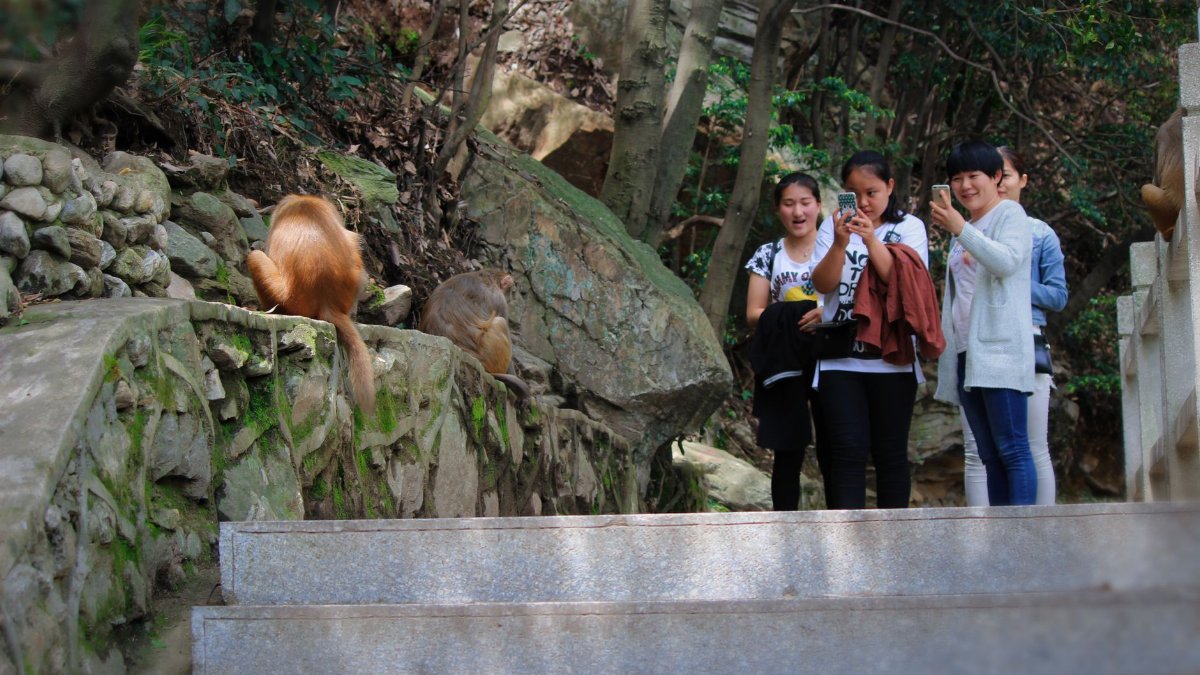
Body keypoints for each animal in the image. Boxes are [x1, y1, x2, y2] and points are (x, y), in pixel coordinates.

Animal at [419, 269, 531, 398]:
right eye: (512, 291)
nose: (512, 297)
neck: (490, 277)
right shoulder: (499, 299)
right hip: (492, 356)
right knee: (500, 322)